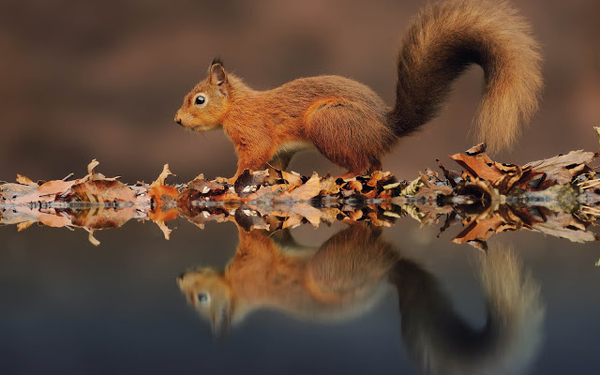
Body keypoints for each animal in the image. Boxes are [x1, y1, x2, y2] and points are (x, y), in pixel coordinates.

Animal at [175, 0, 544, 179]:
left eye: (199, 100)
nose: (177, 121)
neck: (237, 106)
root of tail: (385, 128)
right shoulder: (279, 150)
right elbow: (275, 163)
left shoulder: (254, 135)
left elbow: (251, 159)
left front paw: (229, 181)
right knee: (375, 164)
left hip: (327, 124)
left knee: (363, 164)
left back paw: (341, 175)